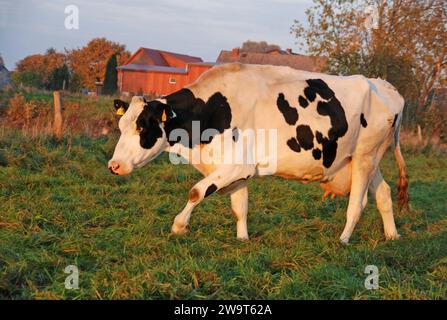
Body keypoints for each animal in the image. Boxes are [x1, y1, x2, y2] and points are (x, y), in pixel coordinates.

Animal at [108, 63, 410, 244]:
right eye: (121, 126)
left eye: (142, 127)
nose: (114, 165)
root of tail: (386, 86)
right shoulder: (236, 169)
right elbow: (239, 206)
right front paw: (242, 239)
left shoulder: (237, 165)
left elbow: (196, 191)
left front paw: (180, 226)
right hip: (367, 160)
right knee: (383, 194)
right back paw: (392, 236)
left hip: (364, 157)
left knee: (357, 203)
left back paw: (344, 239)